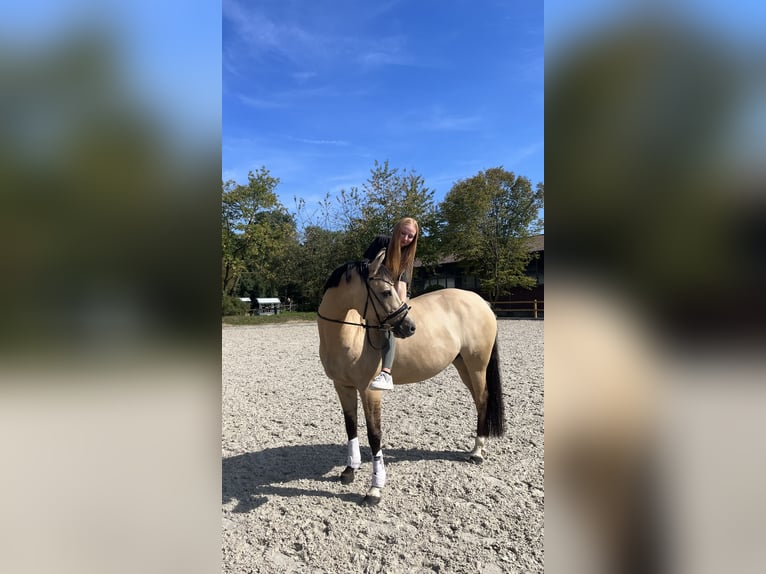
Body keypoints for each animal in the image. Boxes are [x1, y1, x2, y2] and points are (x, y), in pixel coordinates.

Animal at [316, 250, 508, 506]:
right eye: (385, 292)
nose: (410, 327)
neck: (348, 334)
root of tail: (481, 302)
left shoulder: (369, 391)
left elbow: (374, 435)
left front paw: (375, 489)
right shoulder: (343, 387)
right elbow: (351, 427)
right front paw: (350, 470)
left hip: (477, 365)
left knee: (483, 399)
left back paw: (477, 452)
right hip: (463, 366)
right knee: (480, 401)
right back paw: (481, 447)